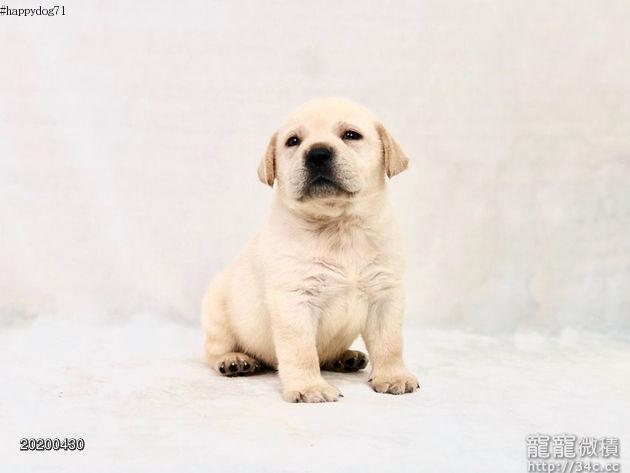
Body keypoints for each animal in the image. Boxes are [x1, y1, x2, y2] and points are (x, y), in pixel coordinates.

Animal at [201, 98, 419, 402]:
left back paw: (345, 357)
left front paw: (393, 376)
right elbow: (301, 350)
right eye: (293, 141)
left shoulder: (385, 294)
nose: (317, 153)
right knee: (213, 350)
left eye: (351, 135)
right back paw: (234, 360)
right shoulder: (294, 300)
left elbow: (390, 343)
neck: (339, 226)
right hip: (217, 313)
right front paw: (309, 387)